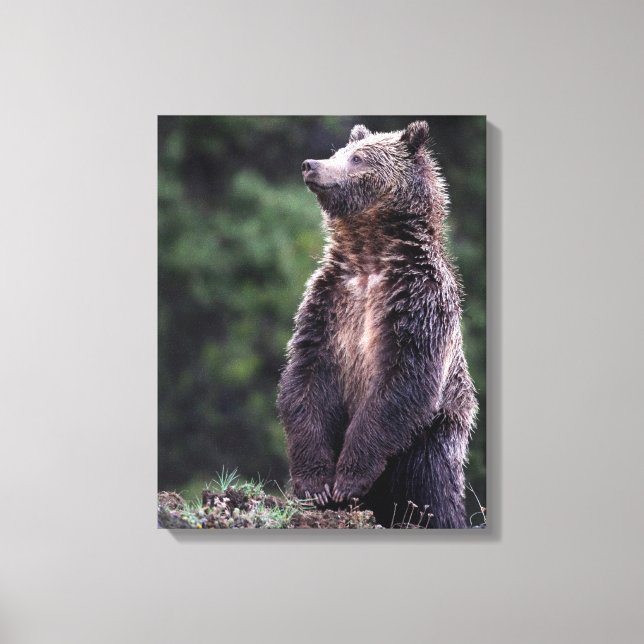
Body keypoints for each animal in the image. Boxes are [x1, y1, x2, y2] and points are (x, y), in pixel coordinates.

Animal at [277, 121, 478, 528]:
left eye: (358, 158)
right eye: (338, 152)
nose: (311, 165)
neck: (369, 254)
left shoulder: (417, 303)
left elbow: (402, 381)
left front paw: (347, 480)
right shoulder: (329, 304)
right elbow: (304, 378)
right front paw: (316, 486)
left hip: (433, 438)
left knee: (432, 486)